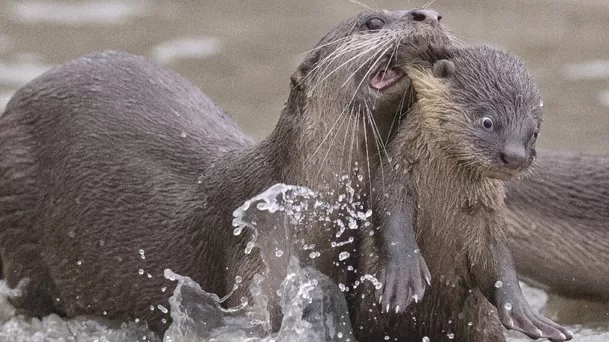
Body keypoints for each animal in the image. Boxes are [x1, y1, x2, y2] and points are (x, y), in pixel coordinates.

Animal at [354, 46, 572, 342]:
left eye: (534, 132)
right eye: (488, 121)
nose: (515, 156)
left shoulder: (487, 215)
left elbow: (498, 263)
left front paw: (525, 313)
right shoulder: (396, 176)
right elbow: (391, 218)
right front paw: (404, 275)